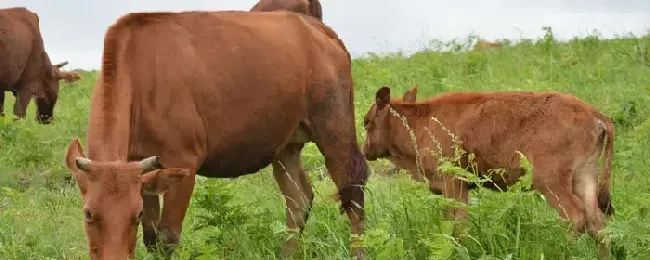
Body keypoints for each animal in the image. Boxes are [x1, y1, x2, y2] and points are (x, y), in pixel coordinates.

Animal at [63, 10, 368, 260]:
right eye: (88, 213)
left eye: (134, 214)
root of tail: (317, 27)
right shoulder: (143, 170)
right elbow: (150, 238)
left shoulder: (183, 160)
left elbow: (167, 238)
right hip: (286, 145)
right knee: (299, 199)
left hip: (334, 125)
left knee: (352, 189)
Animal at [362, 86, 616, 258]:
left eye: (366, 121)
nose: (365, 150)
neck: (419, 123)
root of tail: (595, 115)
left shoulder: (453, 182)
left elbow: (459, 224)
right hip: (584, 177)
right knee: (597, 222)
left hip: (550, 182)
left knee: (576, 218)